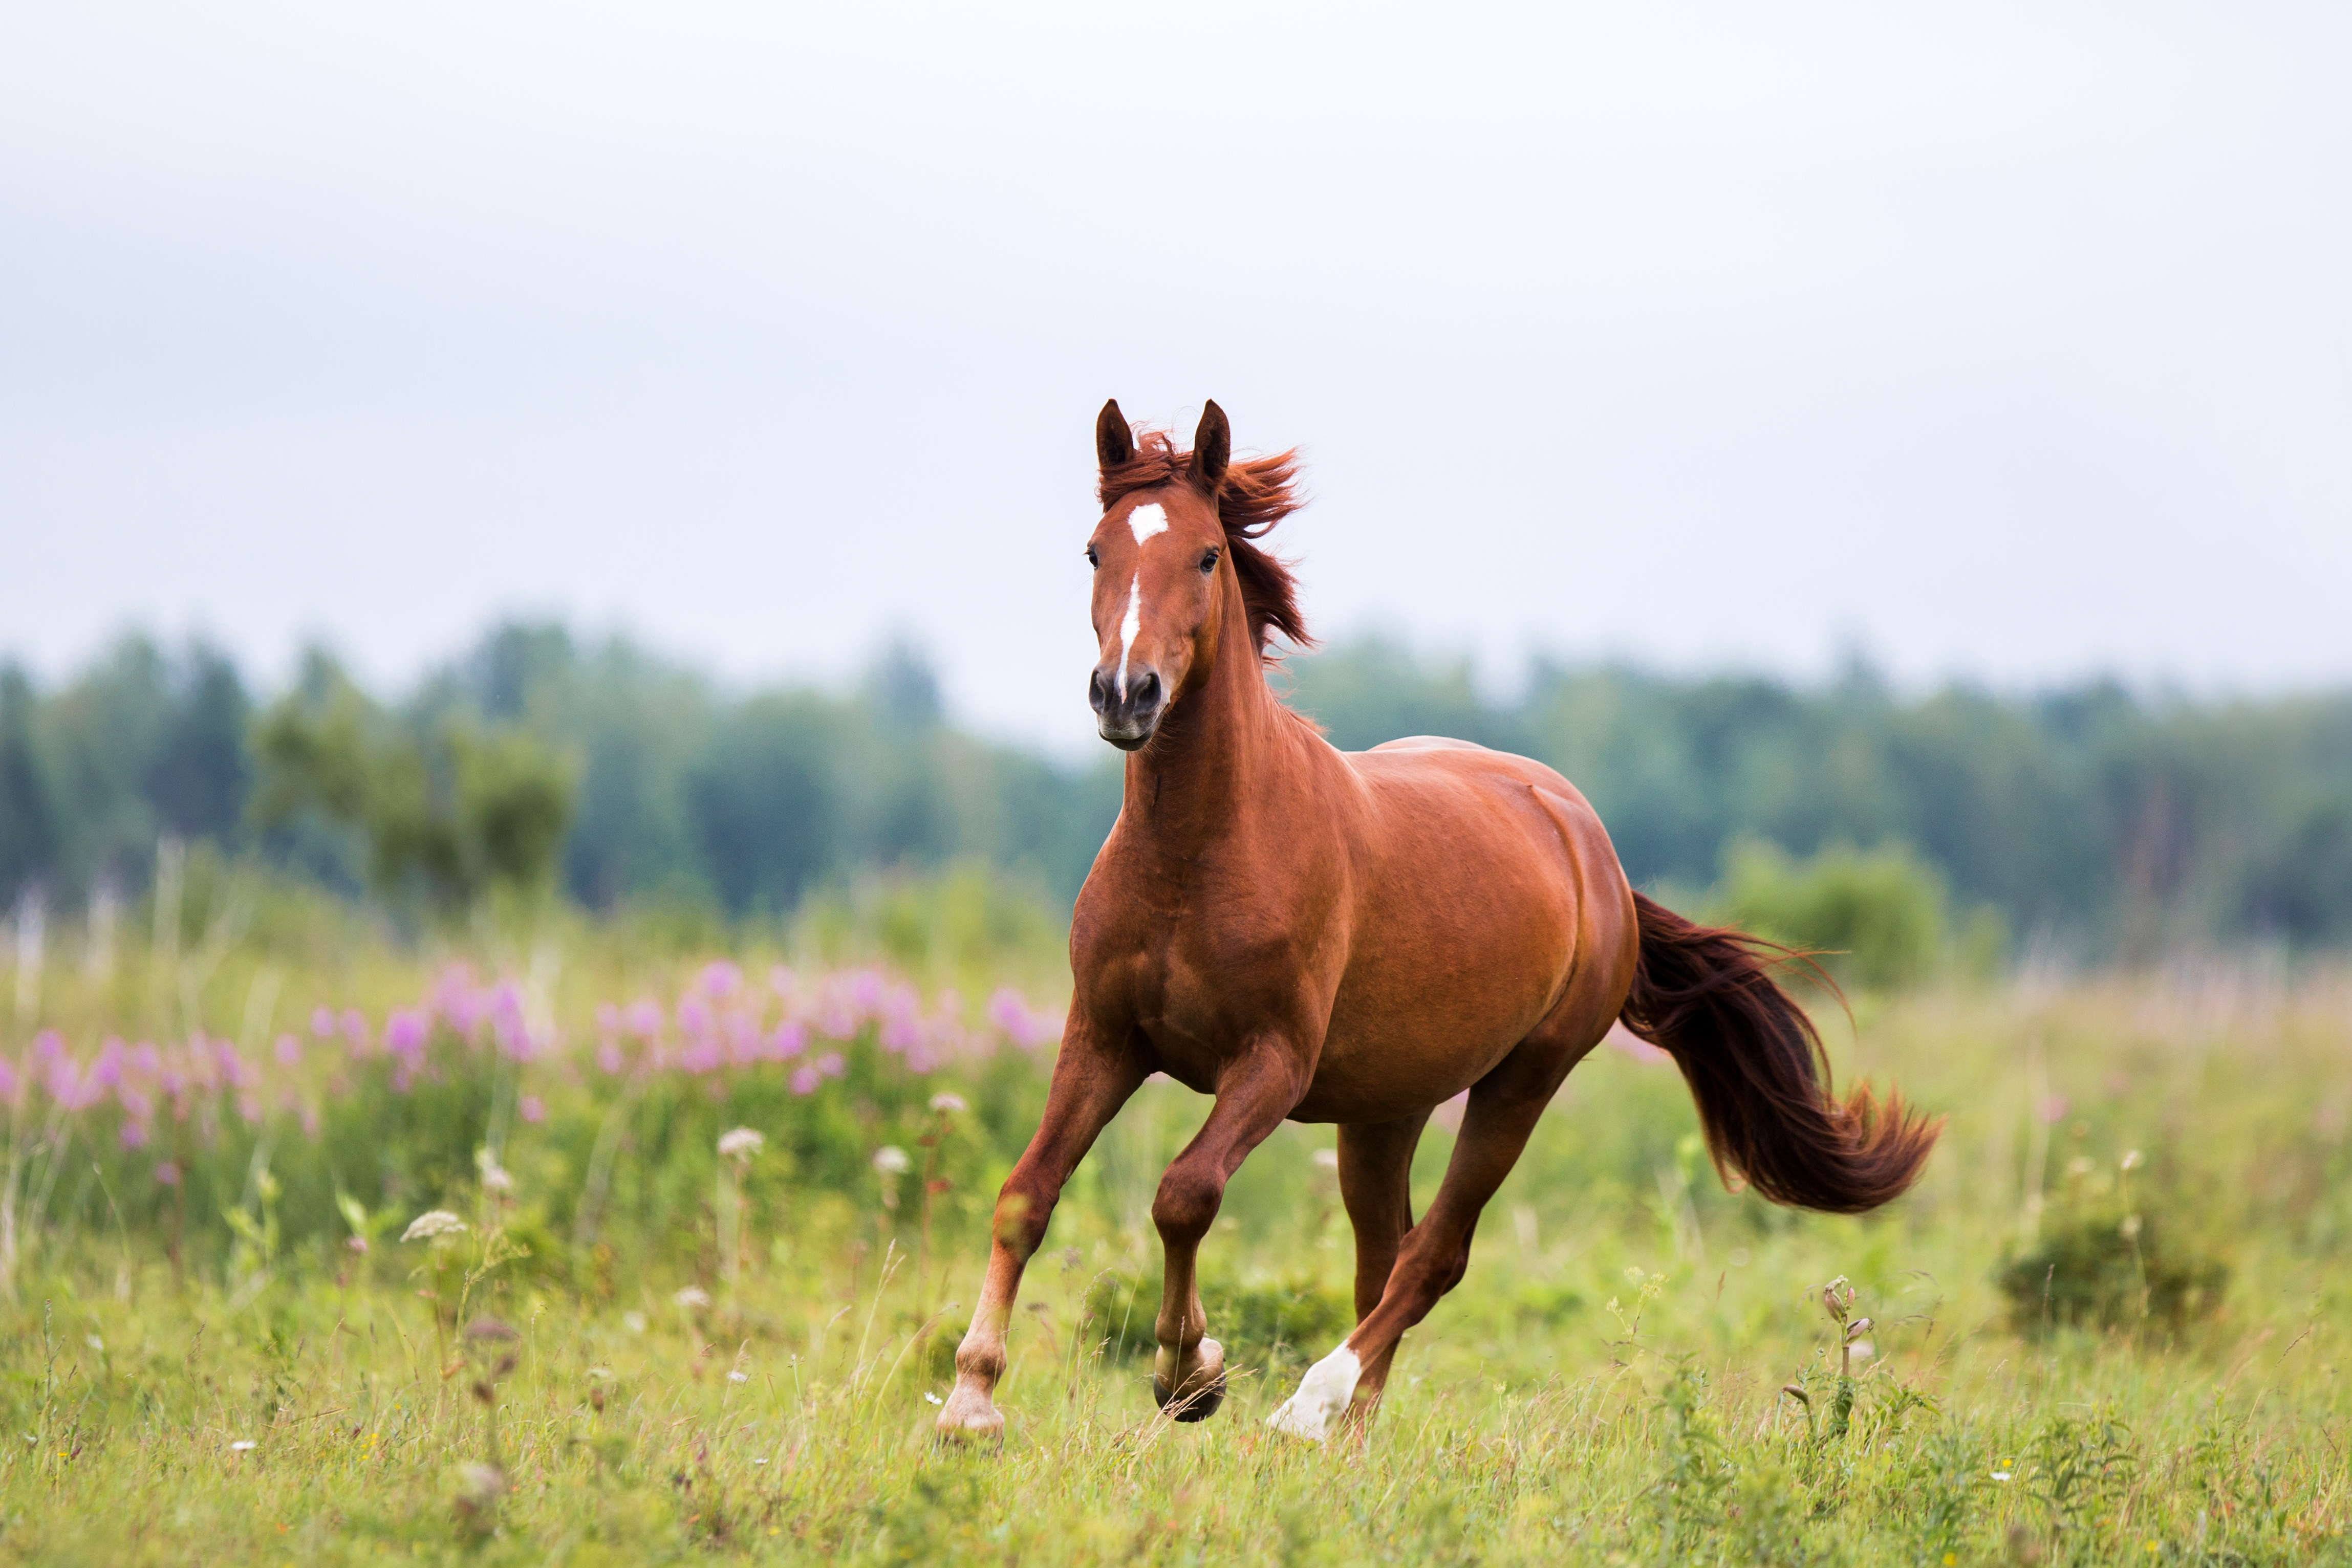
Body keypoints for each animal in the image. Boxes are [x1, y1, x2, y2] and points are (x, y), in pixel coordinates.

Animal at [926, 399, 1938, 1439]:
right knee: (1384, 1256)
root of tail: (1591, 846)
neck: (1196, 856)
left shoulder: (1272, 1063)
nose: (1126, 695)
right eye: (1096, 551)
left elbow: (1185, 1194)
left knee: (1432, 1256)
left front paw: (1188, 1374)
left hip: (1520, 1083)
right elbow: (1026, 1193)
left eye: (1207, 555)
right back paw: (1350, 1433)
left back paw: (1312, 1405)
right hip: (1385, 1109)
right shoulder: (1104, 1035)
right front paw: (971, 1399)